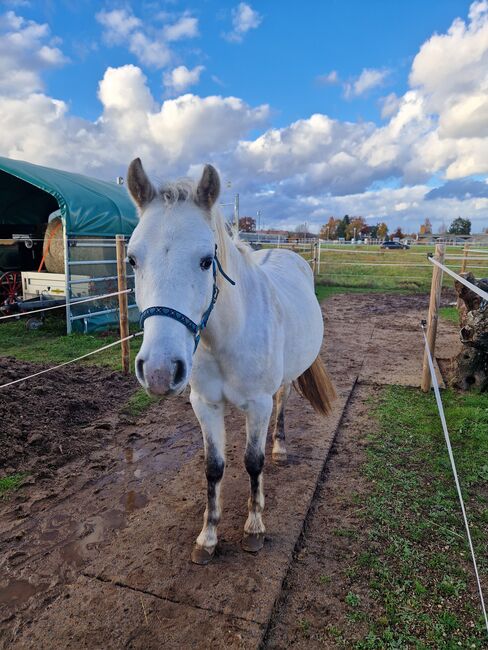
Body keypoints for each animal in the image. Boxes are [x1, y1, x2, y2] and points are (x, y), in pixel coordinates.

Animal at [126, 161, 336, 560]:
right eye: (132, 259)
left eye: (206, 261)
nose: (159, 371)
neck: (224, 338)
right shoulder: (204, 405)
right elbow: (214, 467)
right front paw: (208, 537)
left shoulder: (257, 404)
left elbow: (253, 462)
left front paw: (254, 528)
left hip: (282, 385)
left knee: (282, 403)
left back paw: (280, 447)